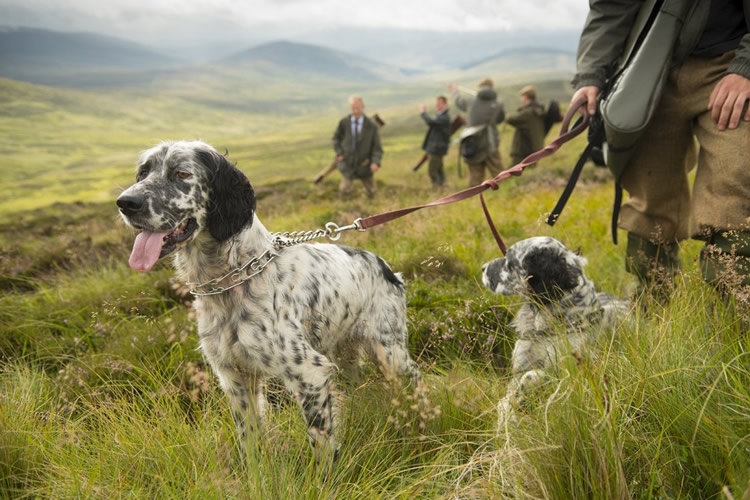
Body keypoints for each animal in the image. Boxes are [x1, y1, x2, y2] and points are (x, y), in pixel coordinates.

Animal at [482, 238, 628, 430]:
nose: (482, 268)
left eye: (508, 261)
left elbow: (534, 375)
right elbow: (506, 400)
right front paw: (506, 419)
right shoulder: (519, 366)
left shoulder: (577, 371)